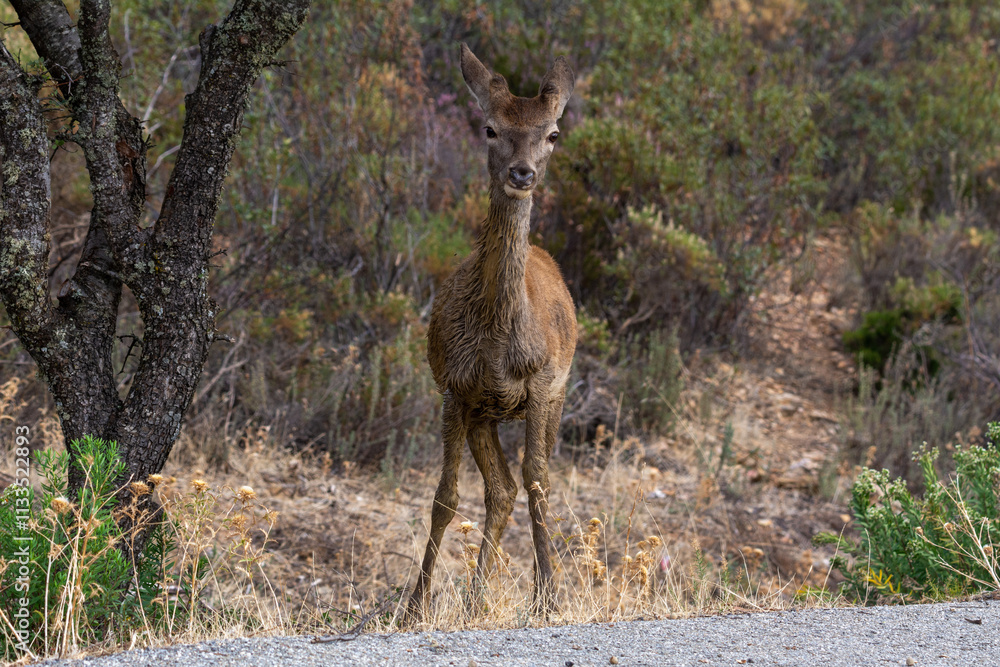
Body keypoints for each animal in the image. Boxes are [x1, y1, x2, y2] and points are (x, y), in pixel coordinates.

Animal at [405, 44, 577, 623]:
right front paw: (415, 604)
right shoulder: (454, 389)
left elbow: (538, 479)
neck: (500, 341)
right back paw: (477, 594)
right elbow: (445, 497)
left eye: (552, 133)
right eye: (490, 128)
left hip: (556, 398)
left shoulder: (543, 384)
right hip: (484, 414)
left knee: (525, 481)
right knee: (499, 490)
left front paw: (549, 596)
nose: (522, 172)